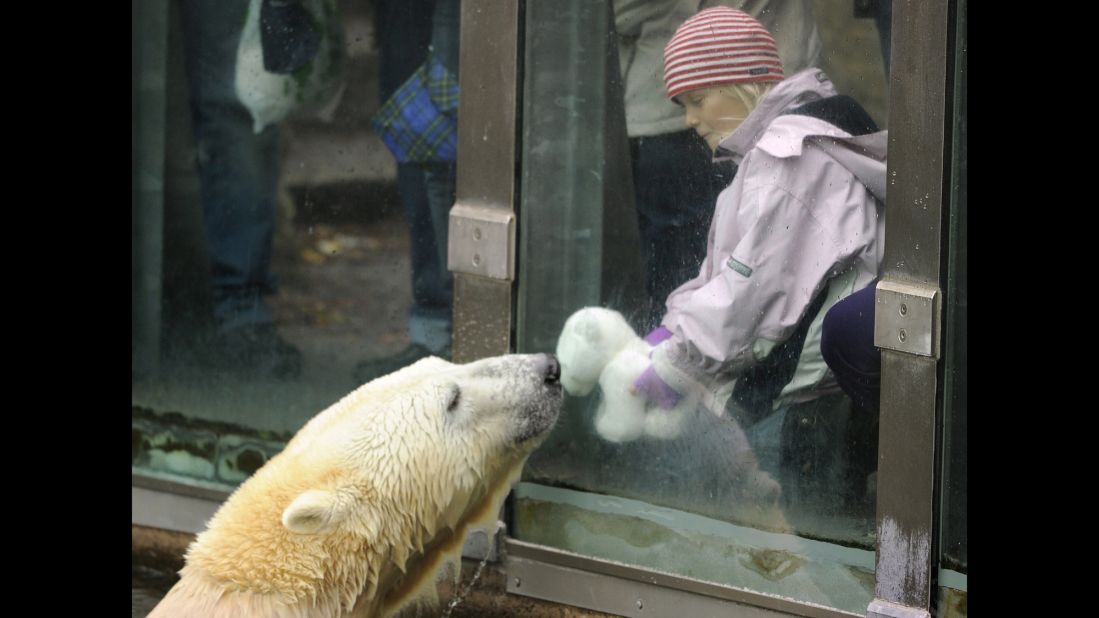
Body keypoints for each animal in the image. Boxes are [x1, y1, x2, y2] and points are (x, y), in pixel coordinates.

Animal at [562, 305, 690, 439]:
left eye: (565, 366)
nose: (572, 392)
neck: (623, 348)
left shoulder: (620, 379)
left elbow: (624, 426)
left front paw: (603, 424)